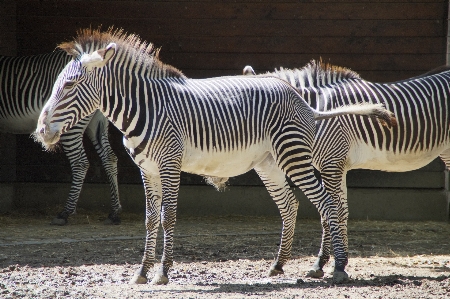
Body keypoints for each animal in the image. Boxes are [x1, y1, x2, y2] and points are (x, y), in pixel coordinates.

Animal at [0, 49, 121, 225]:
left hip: (71, 122)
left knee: (80, 163)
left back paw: (65, 212)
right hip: (97, 122)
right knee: (109, 157)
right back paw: (114, 212)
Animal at [34, 28, 394, 286]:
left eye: (71, 85)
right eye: (58, 83)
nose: (40, 131)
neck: (146, 109)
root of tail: (301, 98)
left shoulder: (169, 164)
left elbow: (168, 217)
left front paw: (162, 272)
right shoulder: (146, 170)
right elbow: (150, 219)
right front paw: (141, 272)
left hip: (294, 156)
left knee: (328, 203)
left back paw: (337, 266)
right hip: (269, 163)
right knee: (291, 205)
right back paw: (279, 265)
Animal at [244, 60, 450, 278]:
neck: (315, 112)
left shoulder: (331, 164)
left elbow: (329, 212)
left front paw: (333, 264)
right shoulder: (337, 166)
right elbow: (340, 211)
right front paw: (332, 262)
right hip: (446, 150)